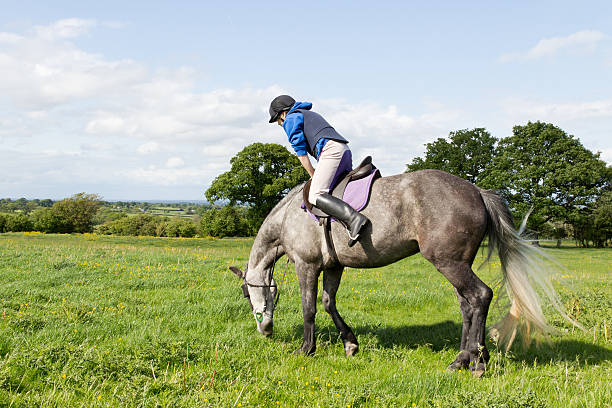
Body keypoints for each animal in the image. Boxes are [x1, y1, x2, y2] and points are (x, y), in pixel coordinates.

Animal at [230, 168, 568, 376]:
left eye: (247, 294)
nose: (265, 331)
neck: (289, 216)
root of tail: (476, 191)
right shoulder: (334, 267)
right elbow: (328, 303)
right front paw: (350, 343)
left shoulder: (307, 265)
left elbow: (309, 308)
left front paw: (306, 349)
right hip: (457, 263)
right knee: (467, 305)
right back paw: (461, 359)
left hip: (449, 262)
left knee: (481, 296)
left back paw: (477, 361)